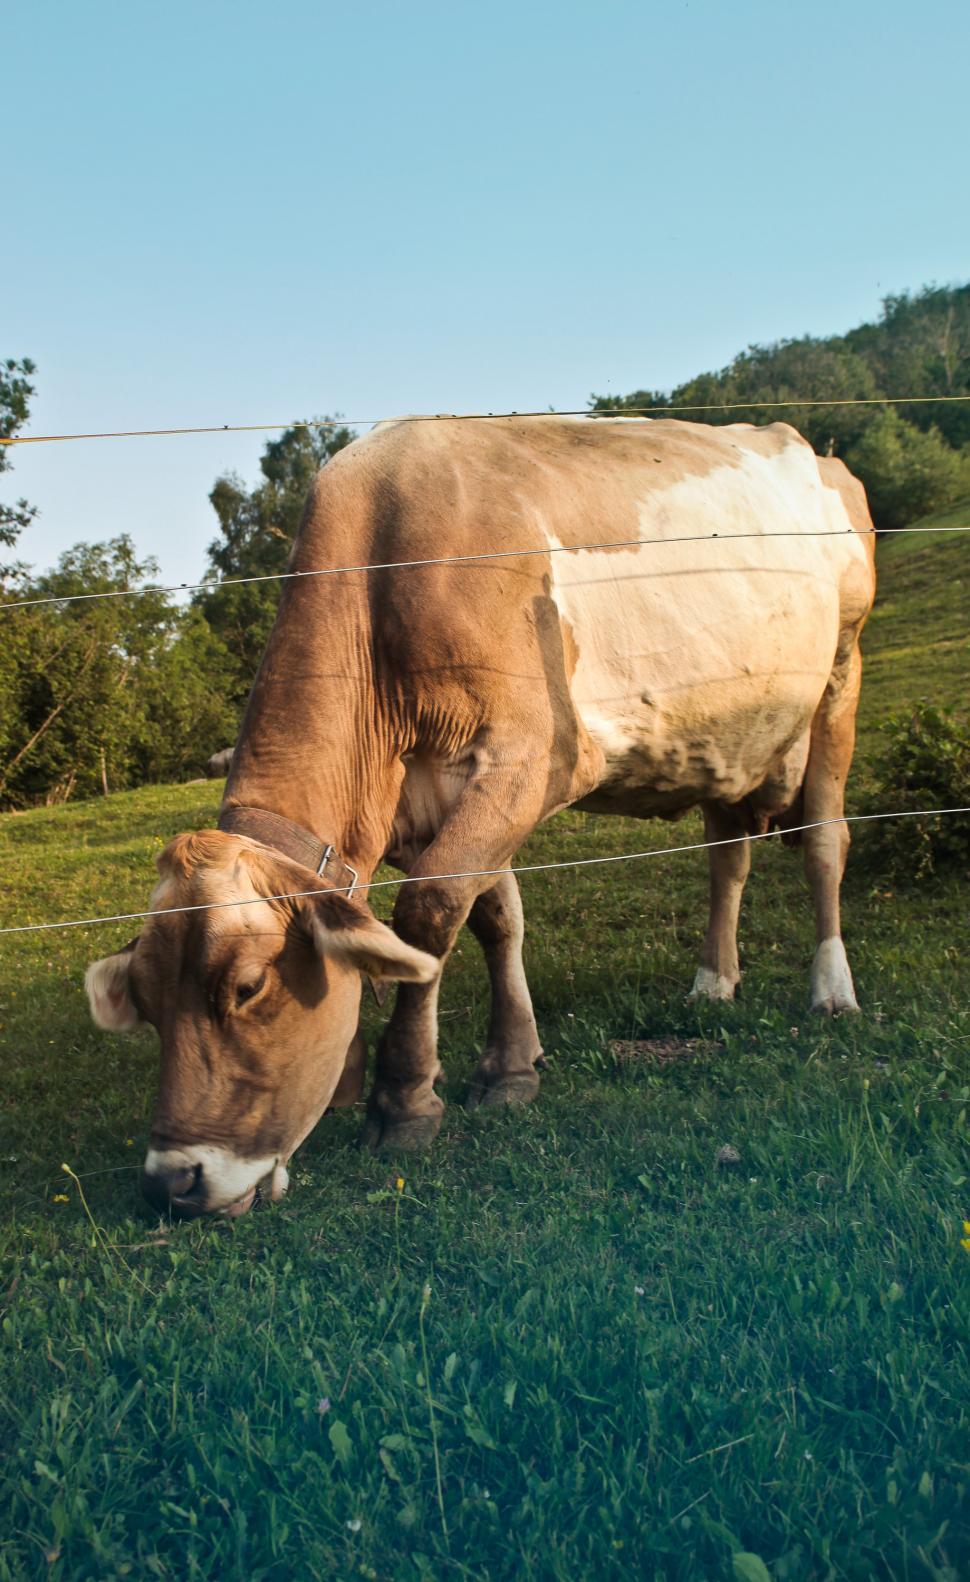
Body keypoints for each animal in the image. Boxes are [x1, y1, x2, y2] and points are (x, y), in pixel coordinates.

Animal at [85, 416, 876, 1218]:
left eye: (247, 987)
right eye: (145, 1000)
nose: (173, 1181)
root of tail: (799, 441)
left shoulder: (538, 755)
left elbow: (429, 912)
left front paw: (404, 1100)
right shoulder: (427, 800)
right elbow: (491, 916)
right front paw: (510, 1065)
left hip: (842, 672)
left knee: (825, 841)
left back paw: (831, 990)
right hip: (730, 737)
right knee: (727, 855)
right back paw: (714, 980)